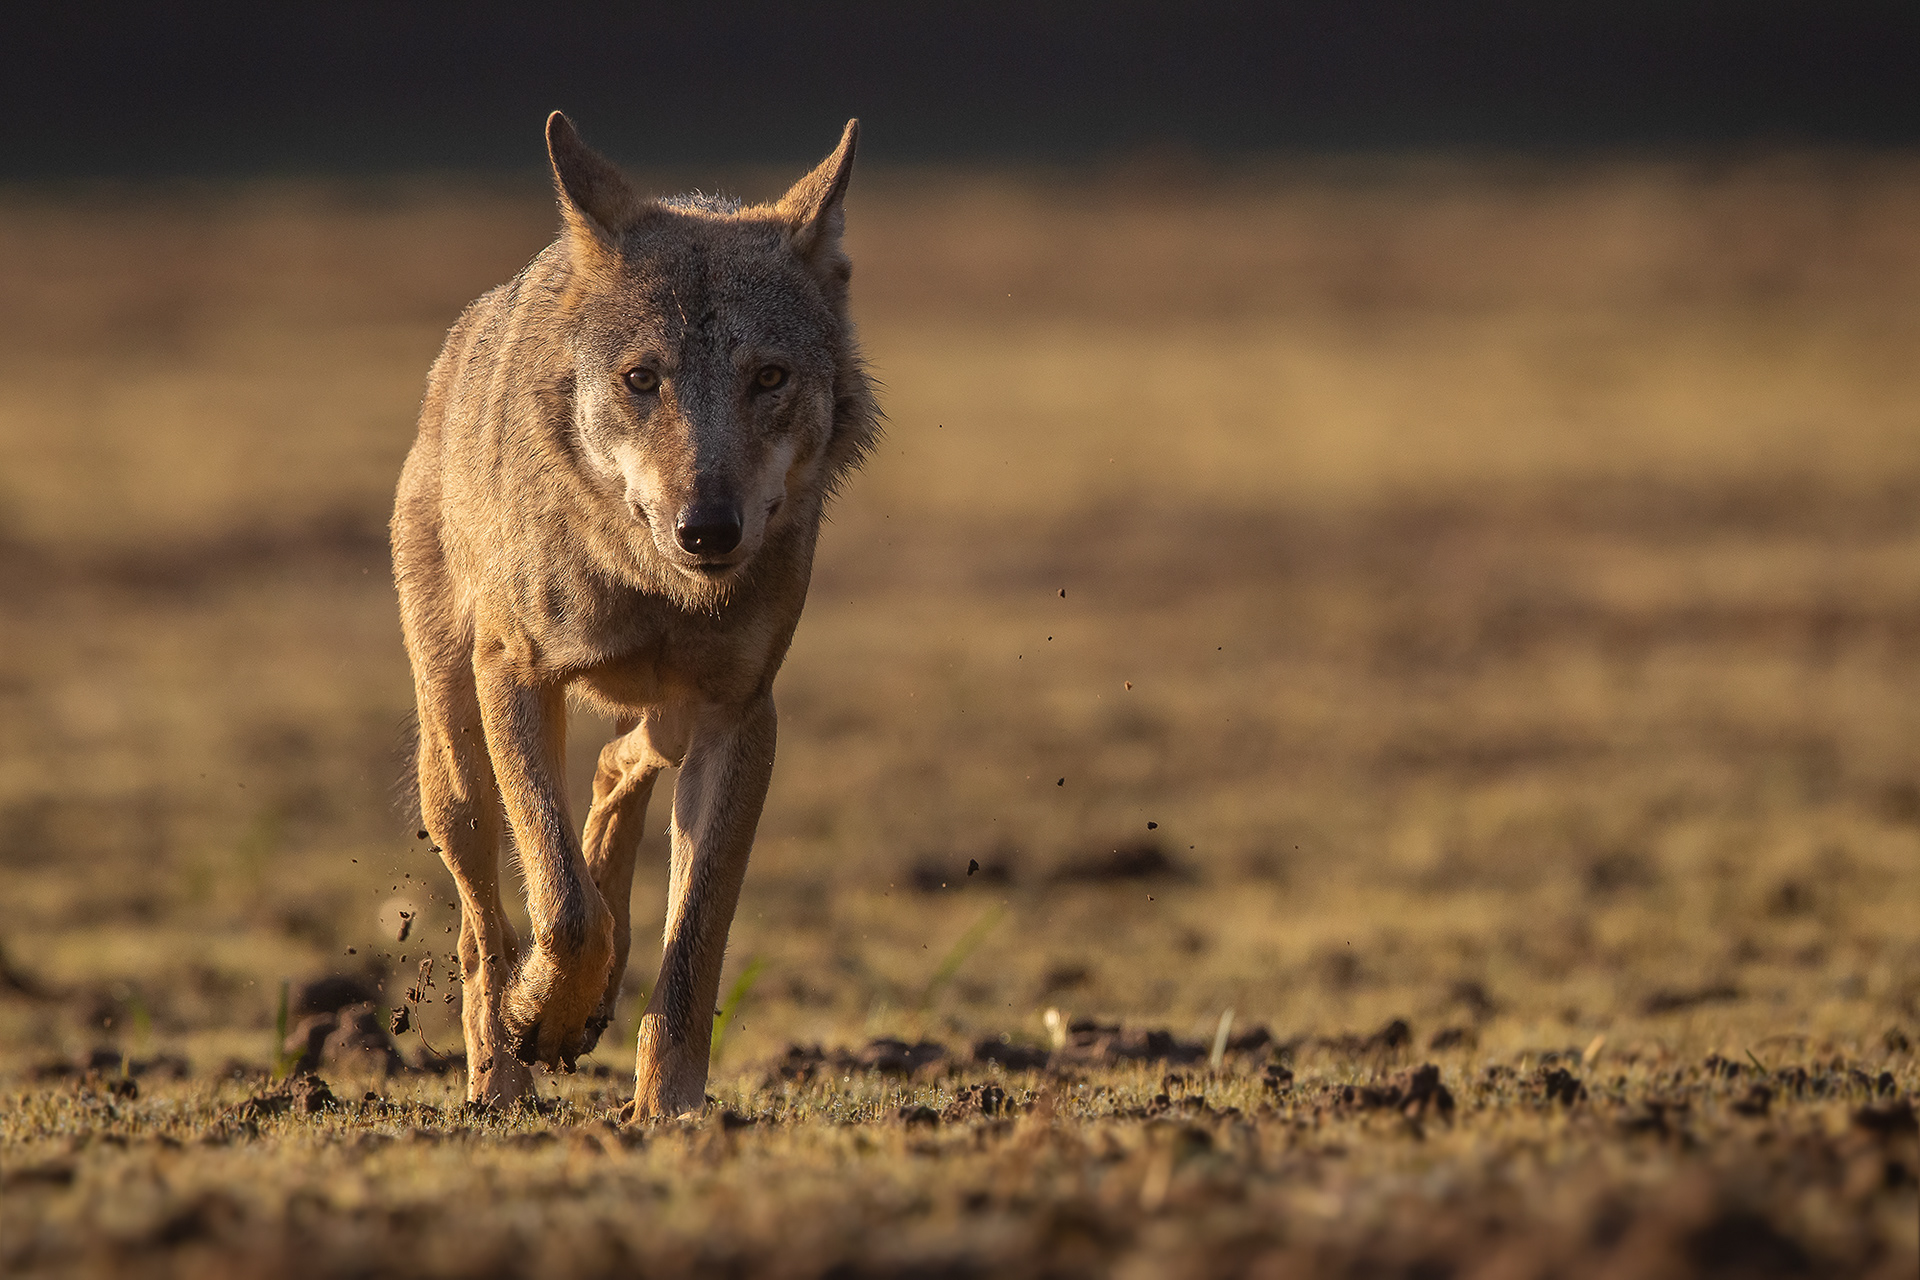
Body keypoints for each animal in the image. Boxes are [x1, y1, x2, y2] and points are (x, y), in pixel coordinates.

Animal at [391, 112, 877, 1118]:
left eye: (769, 377)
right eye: (642, 379)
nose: (708, 527)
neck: (652, 585)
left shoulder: (743, 716)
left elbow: (692, 943)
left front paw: (669, 1108)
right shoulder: (515, 675)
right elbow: (562, 904)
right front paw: (541, 1016)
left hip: (672, 714)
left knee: (617, 771)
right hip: (454, 763)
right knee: (482, 926)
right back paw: (499, 1077)